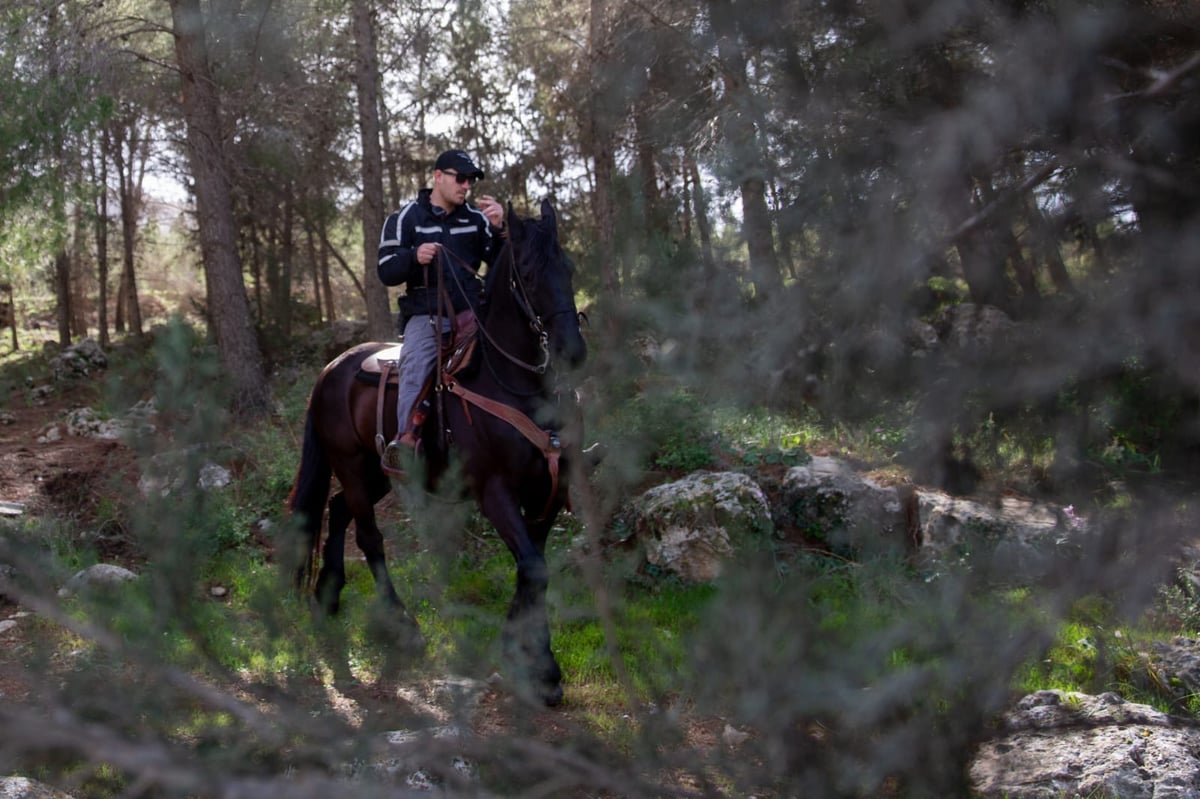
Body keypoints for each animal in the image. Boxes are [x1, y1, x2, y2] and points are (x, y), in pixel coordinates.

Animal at [285, 199, 585, 705]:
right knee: (368, 535)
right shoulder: (494, 491)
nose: (573, 350)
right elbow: (533, 568)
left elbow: (533, 570)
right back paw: (403, 625)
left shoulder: (545, 489)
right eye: (527, 273)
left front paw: (520, 651)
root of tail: (331, 368)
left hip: (378, 471)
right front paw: (542, 668)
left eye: (568, 266)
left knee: (339, 509)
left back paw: (329, 595)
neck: (511, 383)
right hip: (350, 463)